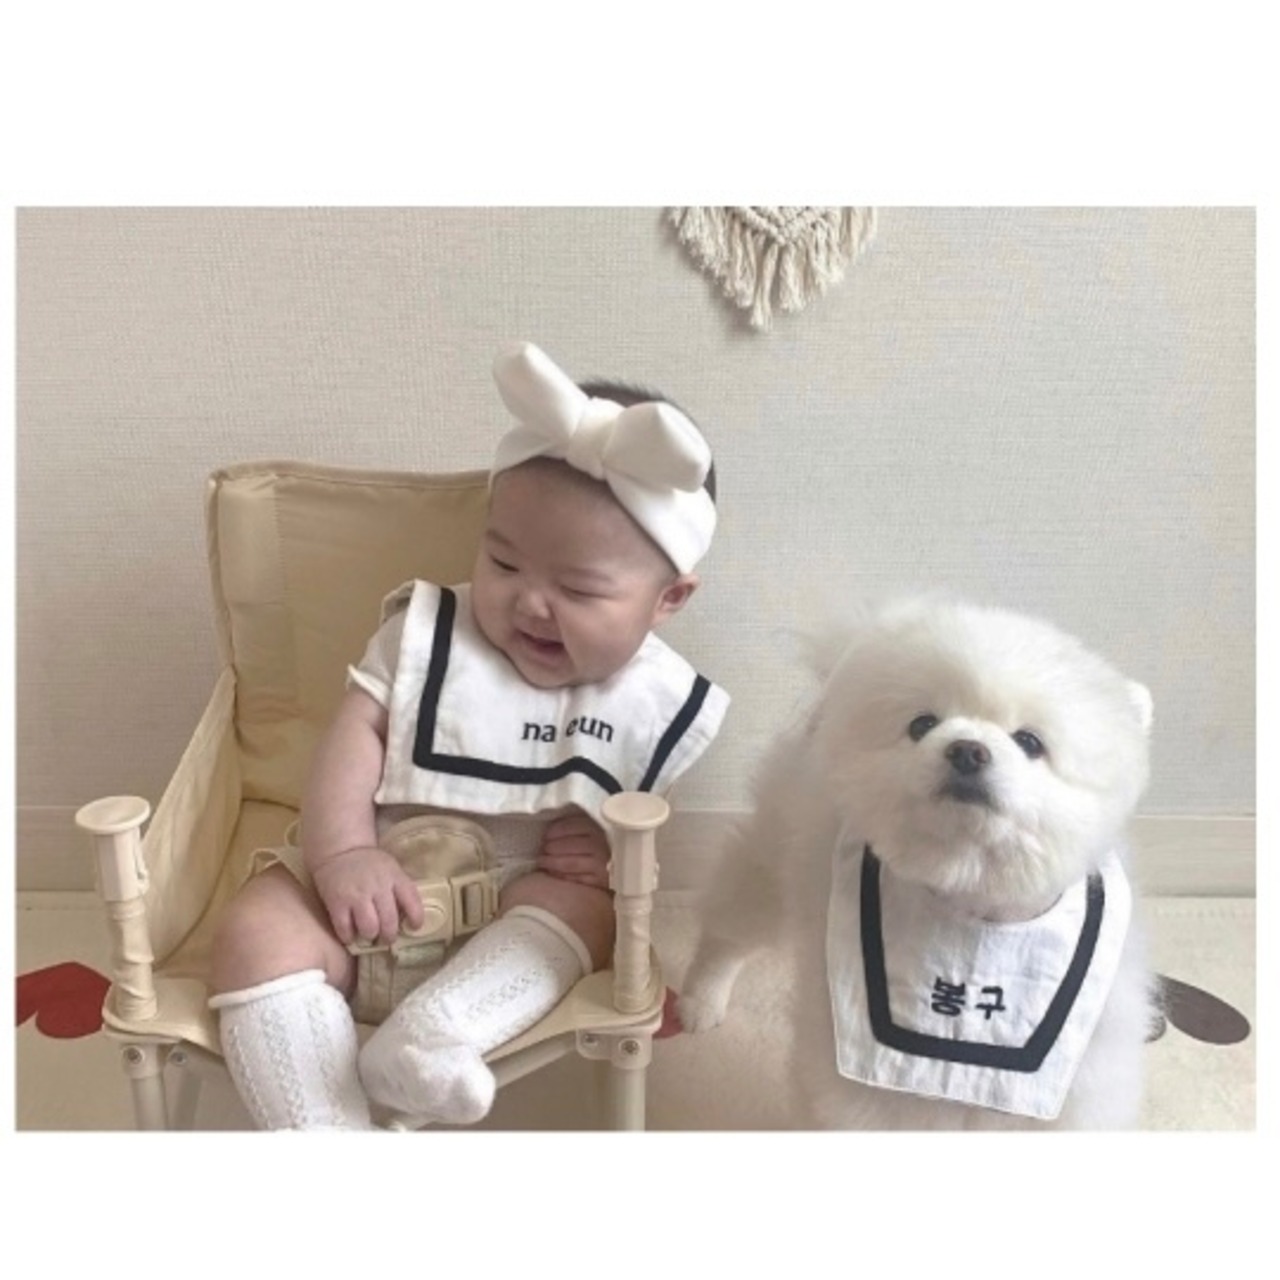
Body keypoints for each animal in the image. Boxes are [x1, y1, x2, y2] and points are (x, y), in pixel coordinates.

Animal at [677, 597, 1157, 1129]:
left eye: (1030, 742)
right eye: (922, 725)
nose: (967, 750)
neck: (972, 905)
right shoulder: (861, 1076)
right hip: (772, 854)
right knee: (729, 927)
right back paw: (700, 1000)